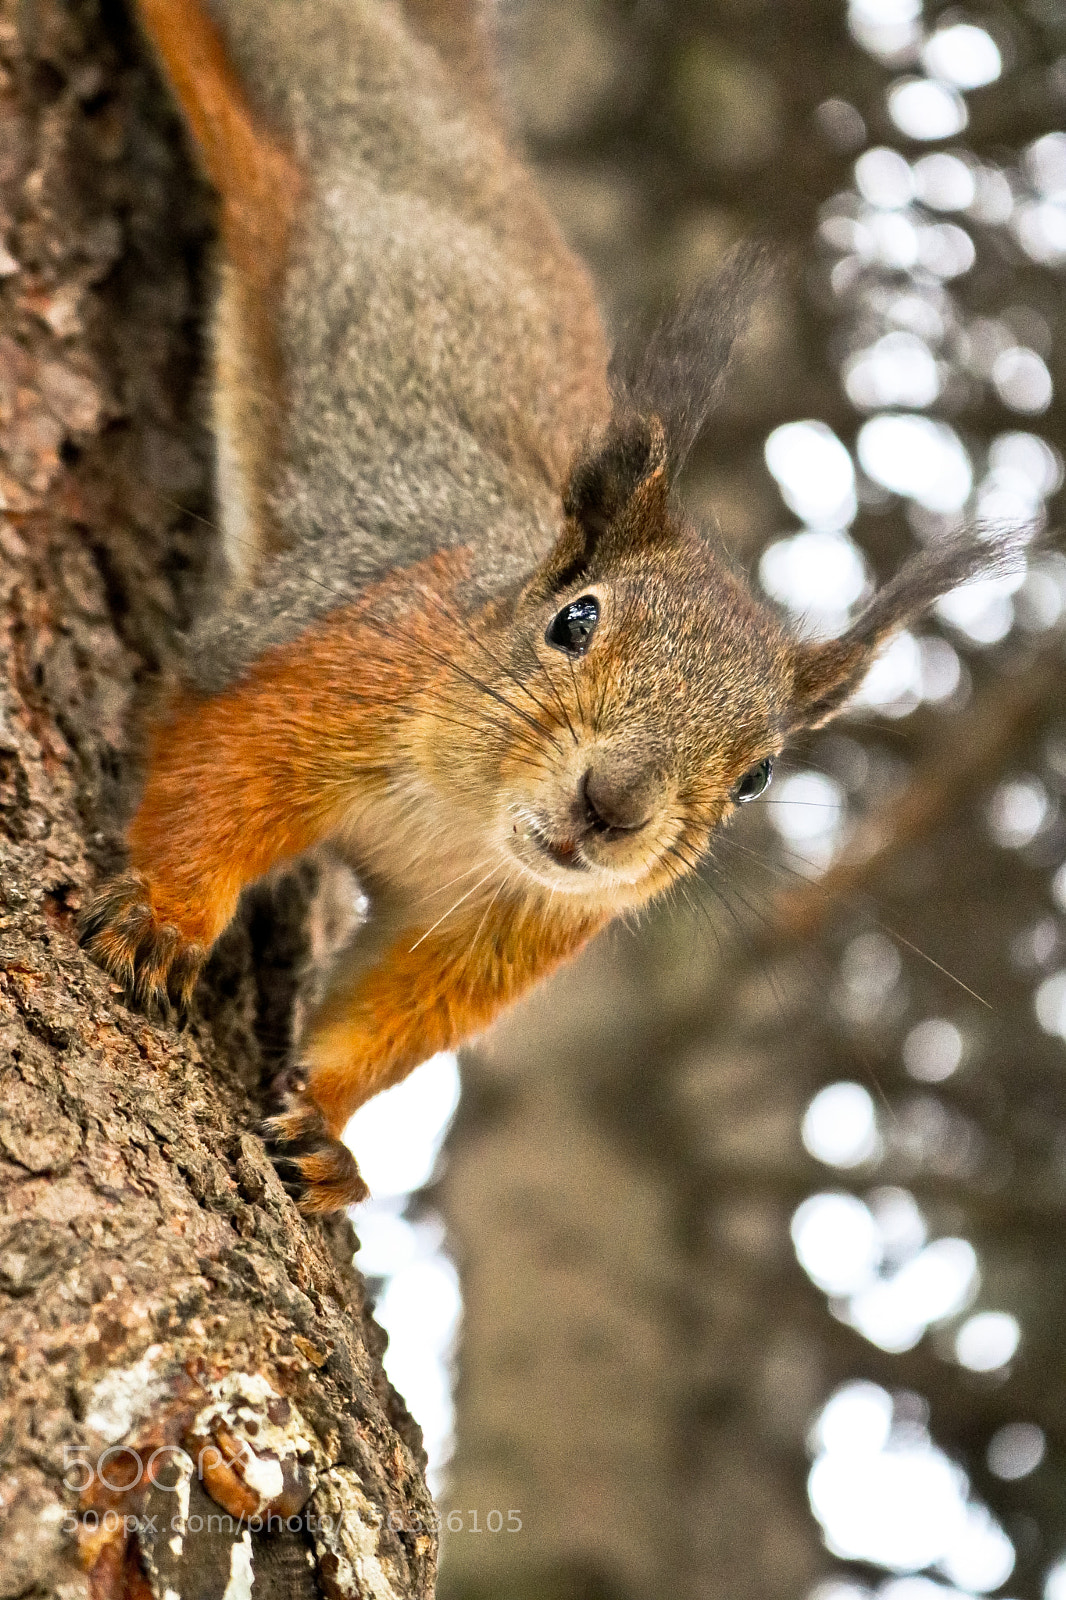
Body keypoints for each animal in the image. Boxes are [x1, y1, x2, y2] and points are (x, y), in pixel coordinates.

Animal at [82, 0, 1008, 1213]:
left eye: (758, 776)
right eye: (573, 620)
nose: (612, 805)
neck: (466, 813)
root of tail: (465, 123)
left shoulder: (517, 922)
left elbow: (399, 1017)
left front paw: (324, 1129)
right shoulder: (342, 662)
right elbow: (218, 774)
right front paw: (163, 916)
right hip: (294, 98)